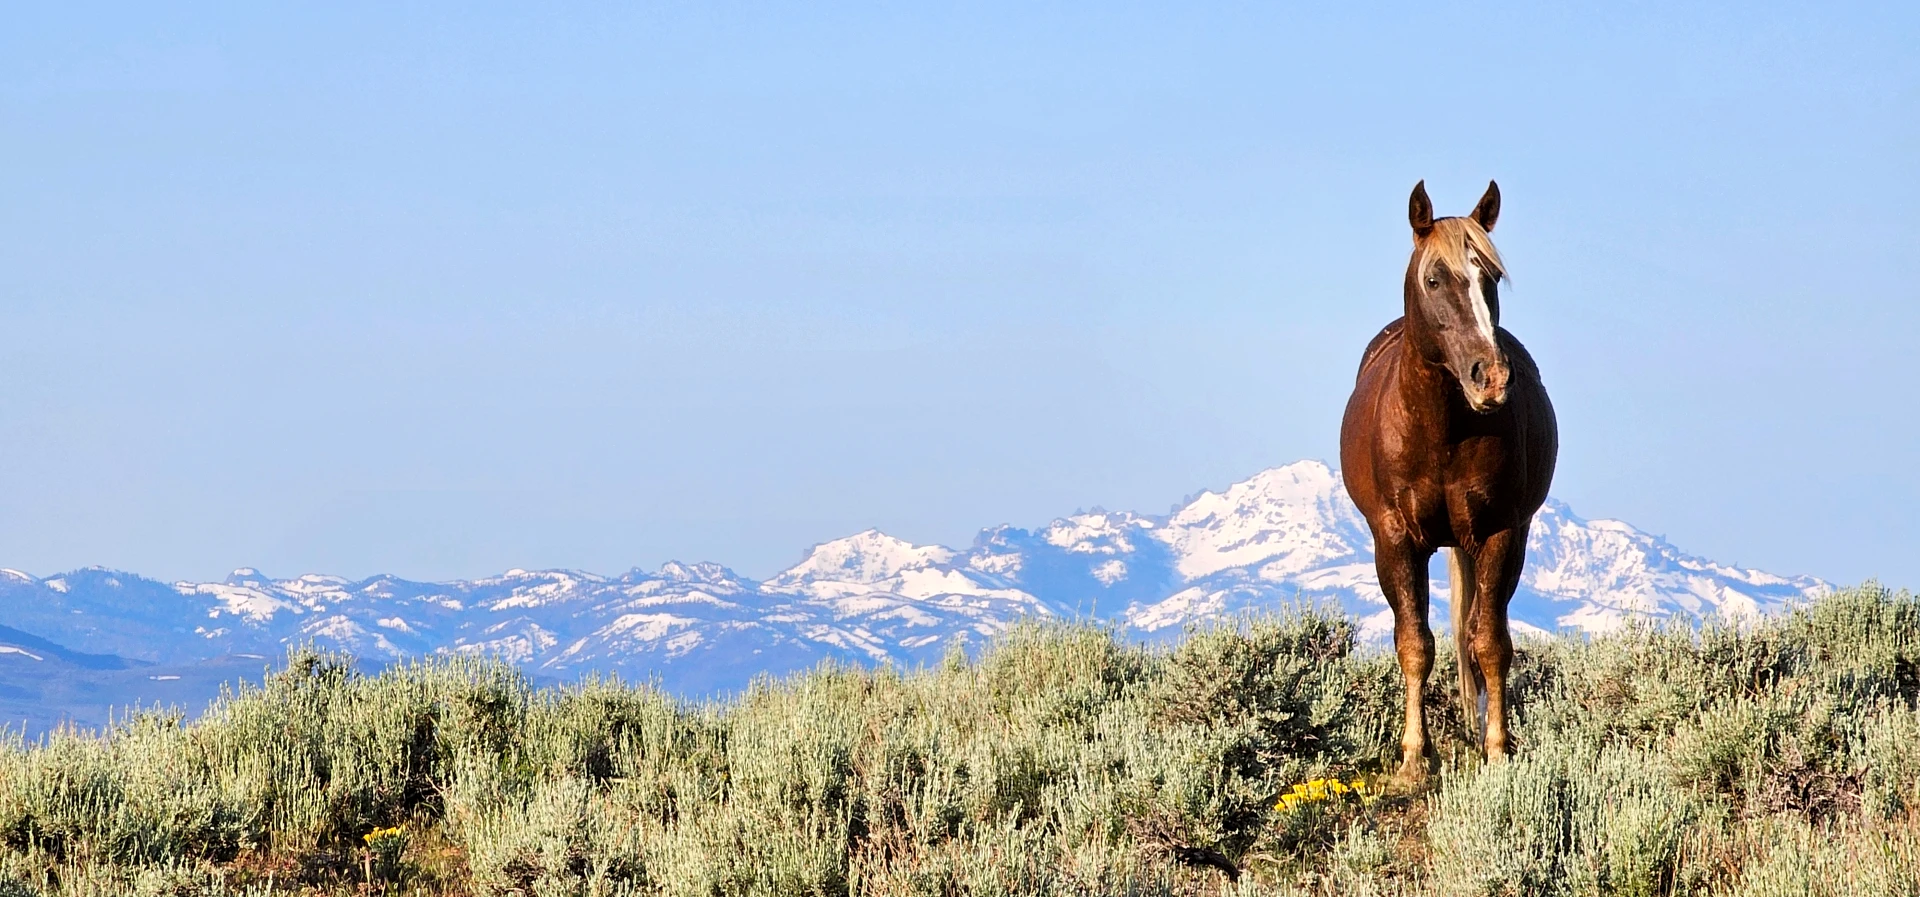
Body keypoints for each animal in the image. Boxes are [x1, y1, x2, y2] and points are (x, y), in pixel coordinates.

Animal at [1339, 180, 1558, 782]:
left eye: (1492, 278)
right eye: (1434, 279)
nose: (1493, 377)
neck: (1440, 432)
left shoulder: (1501, 534)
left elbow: (1491, 644)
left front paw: (1497, 748)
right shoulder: (1394, 539)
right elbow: (1415, 643)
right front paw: (1415, 755)